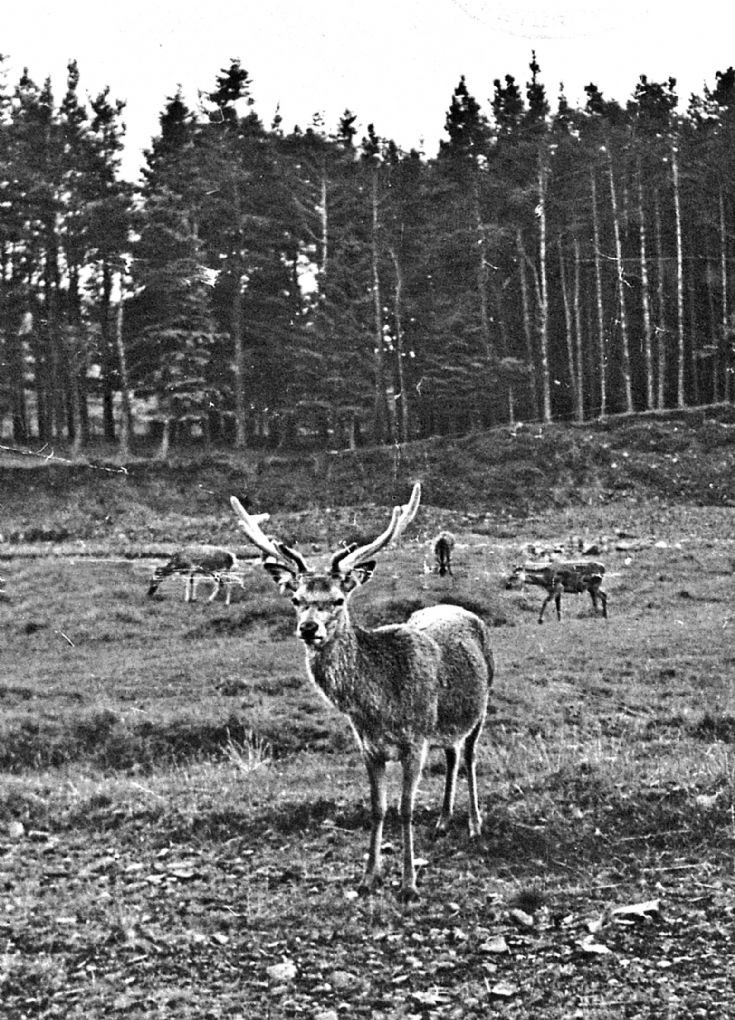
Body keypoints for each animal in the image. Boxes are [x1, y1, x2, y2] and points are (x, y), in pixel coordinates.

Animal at [230, 483, 494, 902]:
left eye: (338, 599)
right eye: (296, 599)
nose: (309, 628)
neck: (377, 704)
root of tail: (462, 610)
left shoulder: (415, 740)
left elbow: (404, 808)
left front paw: (409, 885)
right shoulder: (369, 746)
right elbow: (377, 808)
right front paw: (369, 878)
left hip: (480, 709)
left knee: (468, 759)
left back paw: (474, 825)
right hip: (444, 724)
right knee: (452, 756)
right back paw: (442, 820)